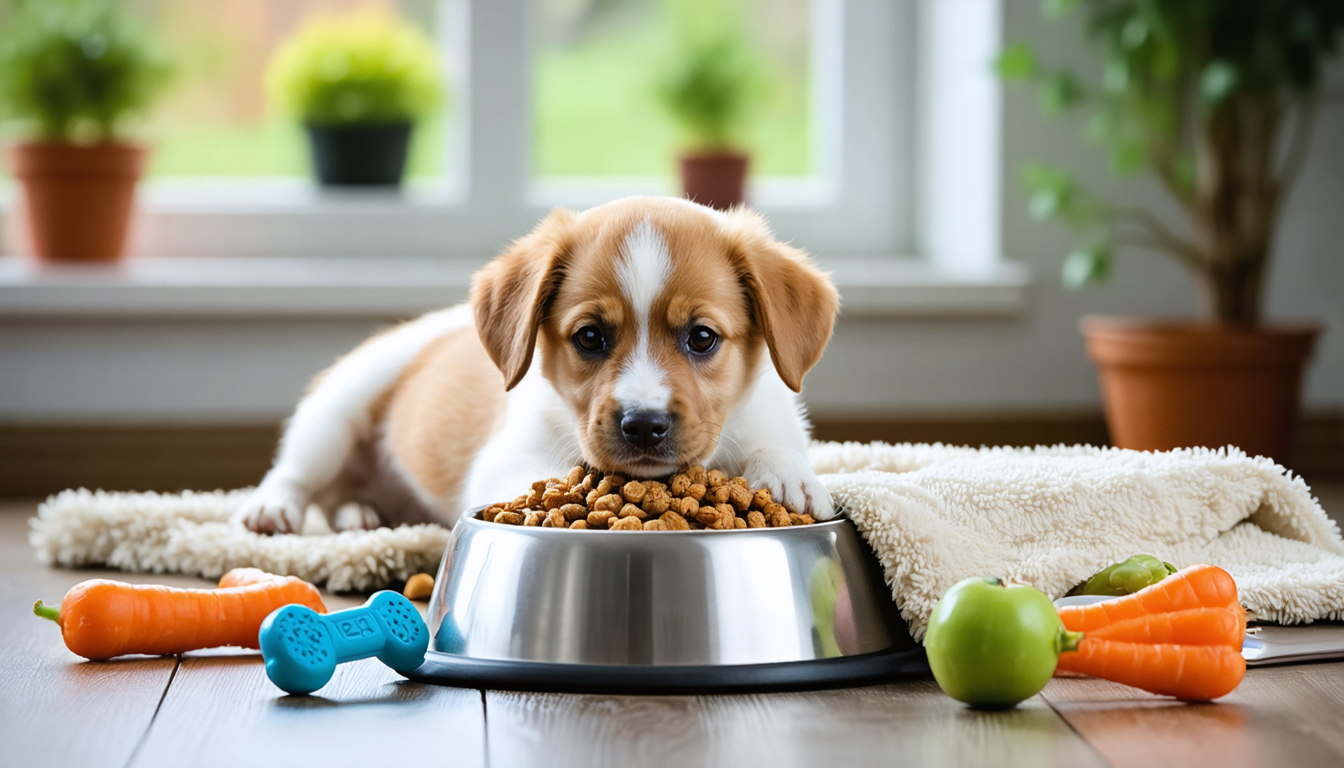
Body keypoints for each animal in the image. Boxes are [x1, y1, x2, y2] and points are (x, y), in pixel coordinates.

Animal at [235, 196, 833, 535]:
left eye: (702, 337)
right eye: (589, 337)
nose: (643, 426)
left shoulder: (772, 420)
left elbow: (775, 446)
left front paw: (787, 478)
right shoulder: (508, 460)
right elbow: (541, 483)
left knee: (337, 498)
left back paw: (360, 515)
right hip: (338, 409)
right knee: (295, 474)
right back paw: (275, 509)